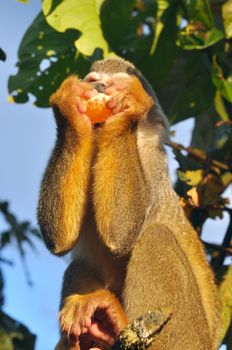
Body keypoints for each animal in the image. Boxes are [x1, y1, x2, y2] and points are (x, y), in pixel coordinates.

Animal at [37, 58, 220, 348]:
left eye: (115, 85)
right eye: (93, 81)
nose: (99, 86)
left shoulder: (150, 162)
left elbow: (121, 233)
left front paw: (129, 110)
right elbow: (60, 240)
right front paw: (69, 107)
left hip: (187, 337)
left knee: (156, 237)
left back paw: (117, 323)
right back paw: (99, 332)